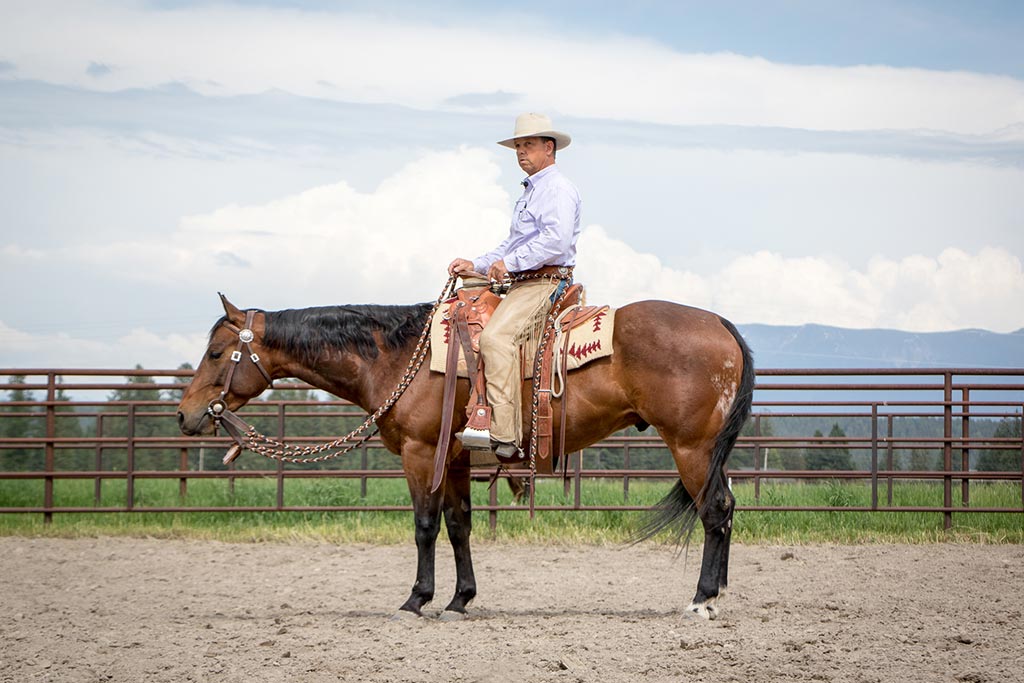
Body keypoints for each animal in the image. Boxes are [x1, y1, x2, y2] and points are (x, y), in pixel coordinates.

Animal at [176, 290, 753, 622]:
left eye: (215, 353)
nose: (185, 415)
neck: (398, 357)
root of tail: (721, 324)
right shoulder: (451, 459)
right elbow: (459, 526)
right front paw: (460, 600)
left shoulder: (419, 453)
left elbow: (424, 527)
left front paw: (416, 600)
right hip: (706, 451)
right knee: (726, 508)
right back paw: (718, 591)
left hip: (691, 447)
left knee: (714, 511)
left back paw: (701, 599)